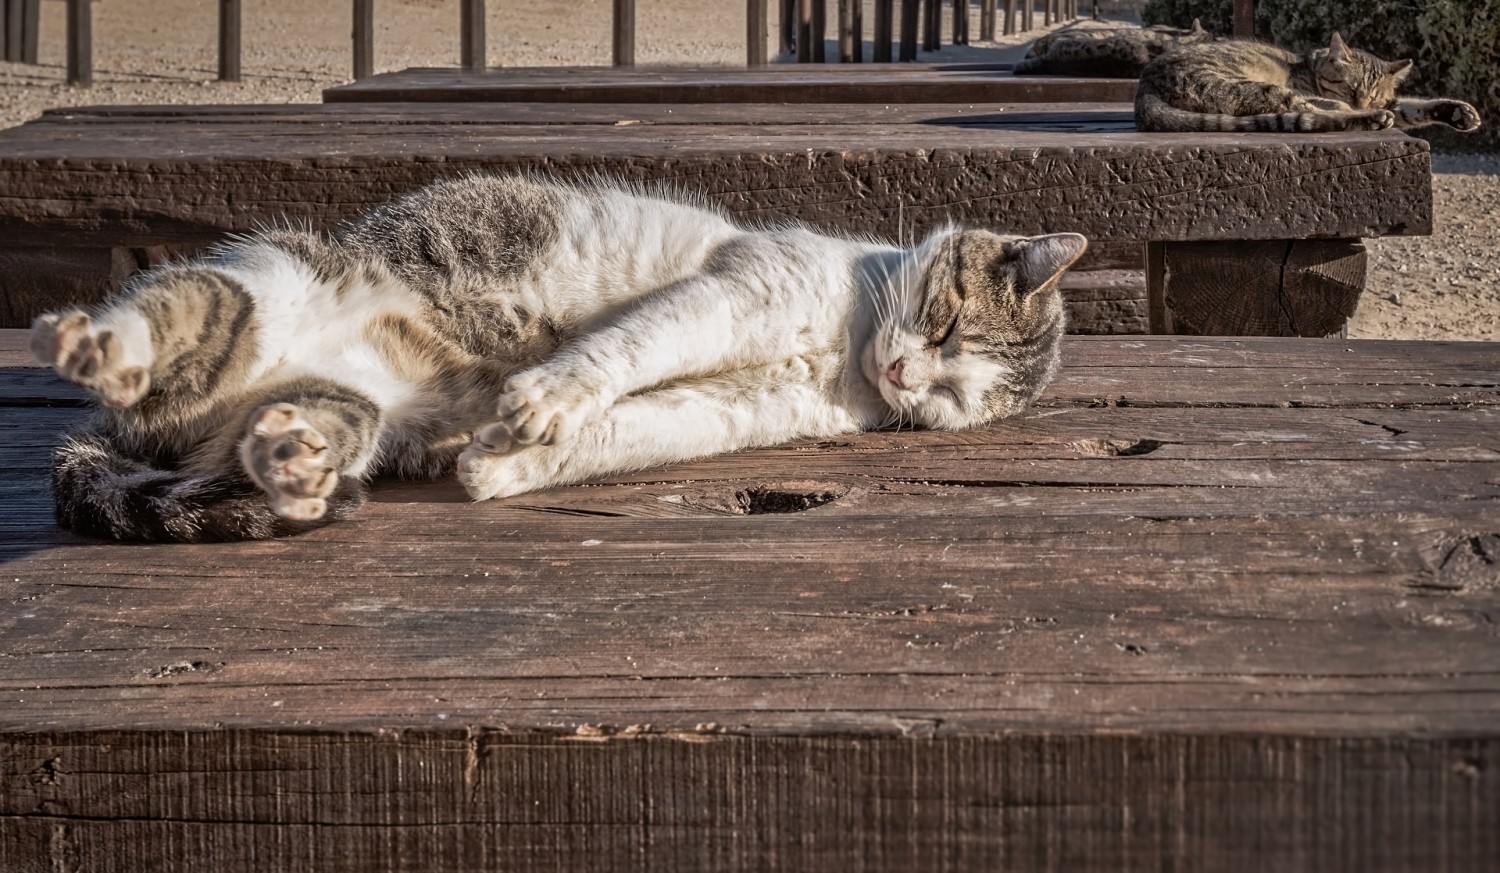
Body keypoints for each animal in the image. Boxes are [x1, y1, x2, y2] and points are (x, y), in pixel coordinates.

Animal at [32, 175, 1092, 543]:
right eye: (947, 326)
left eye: (954, 398)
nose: (909, 377)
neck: (842, 350)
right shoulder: (736, 292)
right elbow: (625, 351)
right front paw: (544, 396)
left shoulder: (735, 406)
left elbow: (624, 431)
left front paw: (508, 464)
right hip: (263, 280)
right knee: (166, 317)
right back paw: (95, 342)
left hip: (333, 406)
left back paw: (292, 456)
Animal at [1140, 31, 1482, 133]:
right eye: (1350, 87)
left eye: (1373, 95)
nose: (1364, 104)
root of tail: (1144, 85)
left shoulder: (1395, 103)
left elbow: (1414, 107)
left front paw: (1457, 112)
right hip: (1255, 88)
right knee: (1314, 114)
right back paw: (1367, 119)